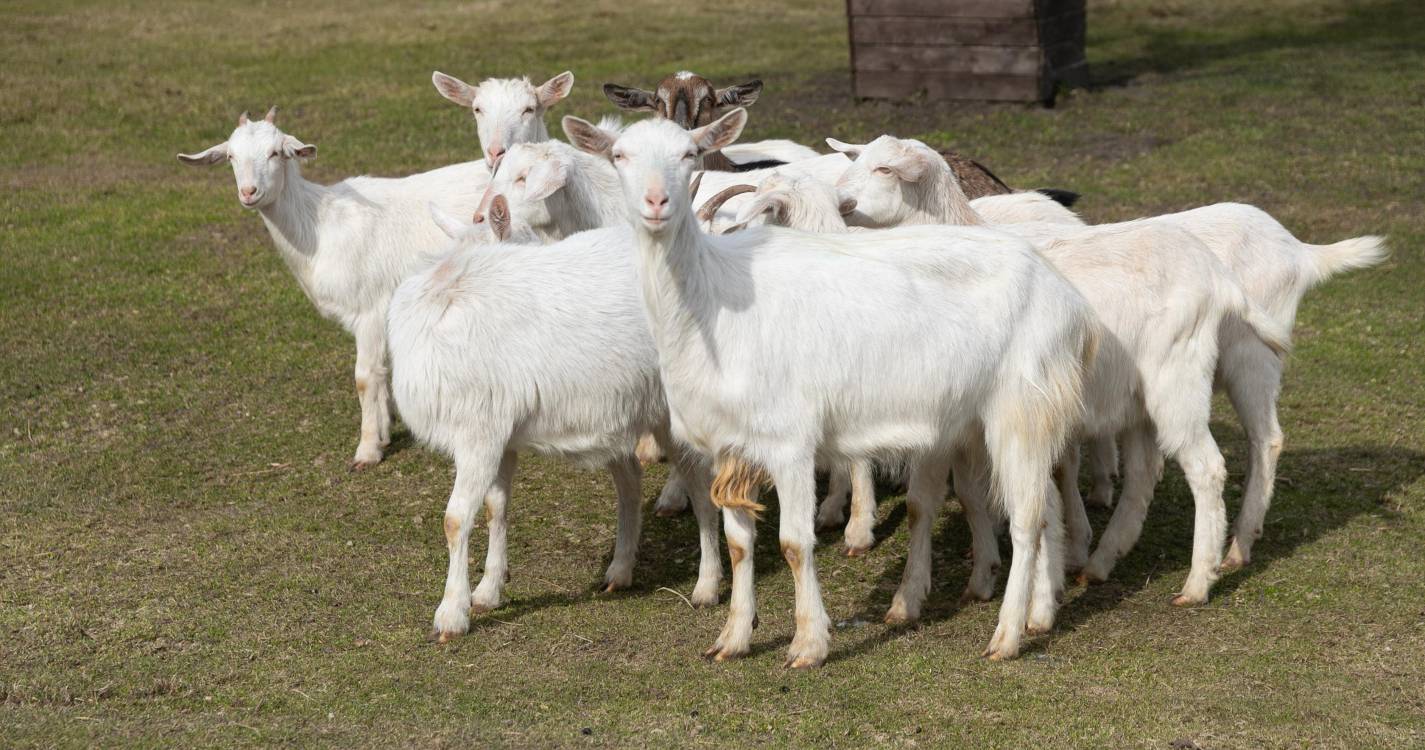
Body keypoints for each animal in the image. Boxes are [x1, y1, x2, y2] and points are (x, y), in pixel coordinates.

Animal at [564, 109, 1100, 664]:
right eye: (619, 155)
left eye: (689, 154)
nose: (656, 203)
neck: (713, 304)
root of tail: (1070, 301)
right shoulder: (730, 445)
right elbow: (739, 543)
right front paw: (733, 638)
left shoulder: (790, 443)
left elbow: (794, 543)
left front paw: (808, 643)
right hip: (991, 418)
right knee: (1043, 507)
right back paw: (1040, 613)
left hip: (1021, 410)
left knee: (1025, 519)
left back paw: (1007, 636)